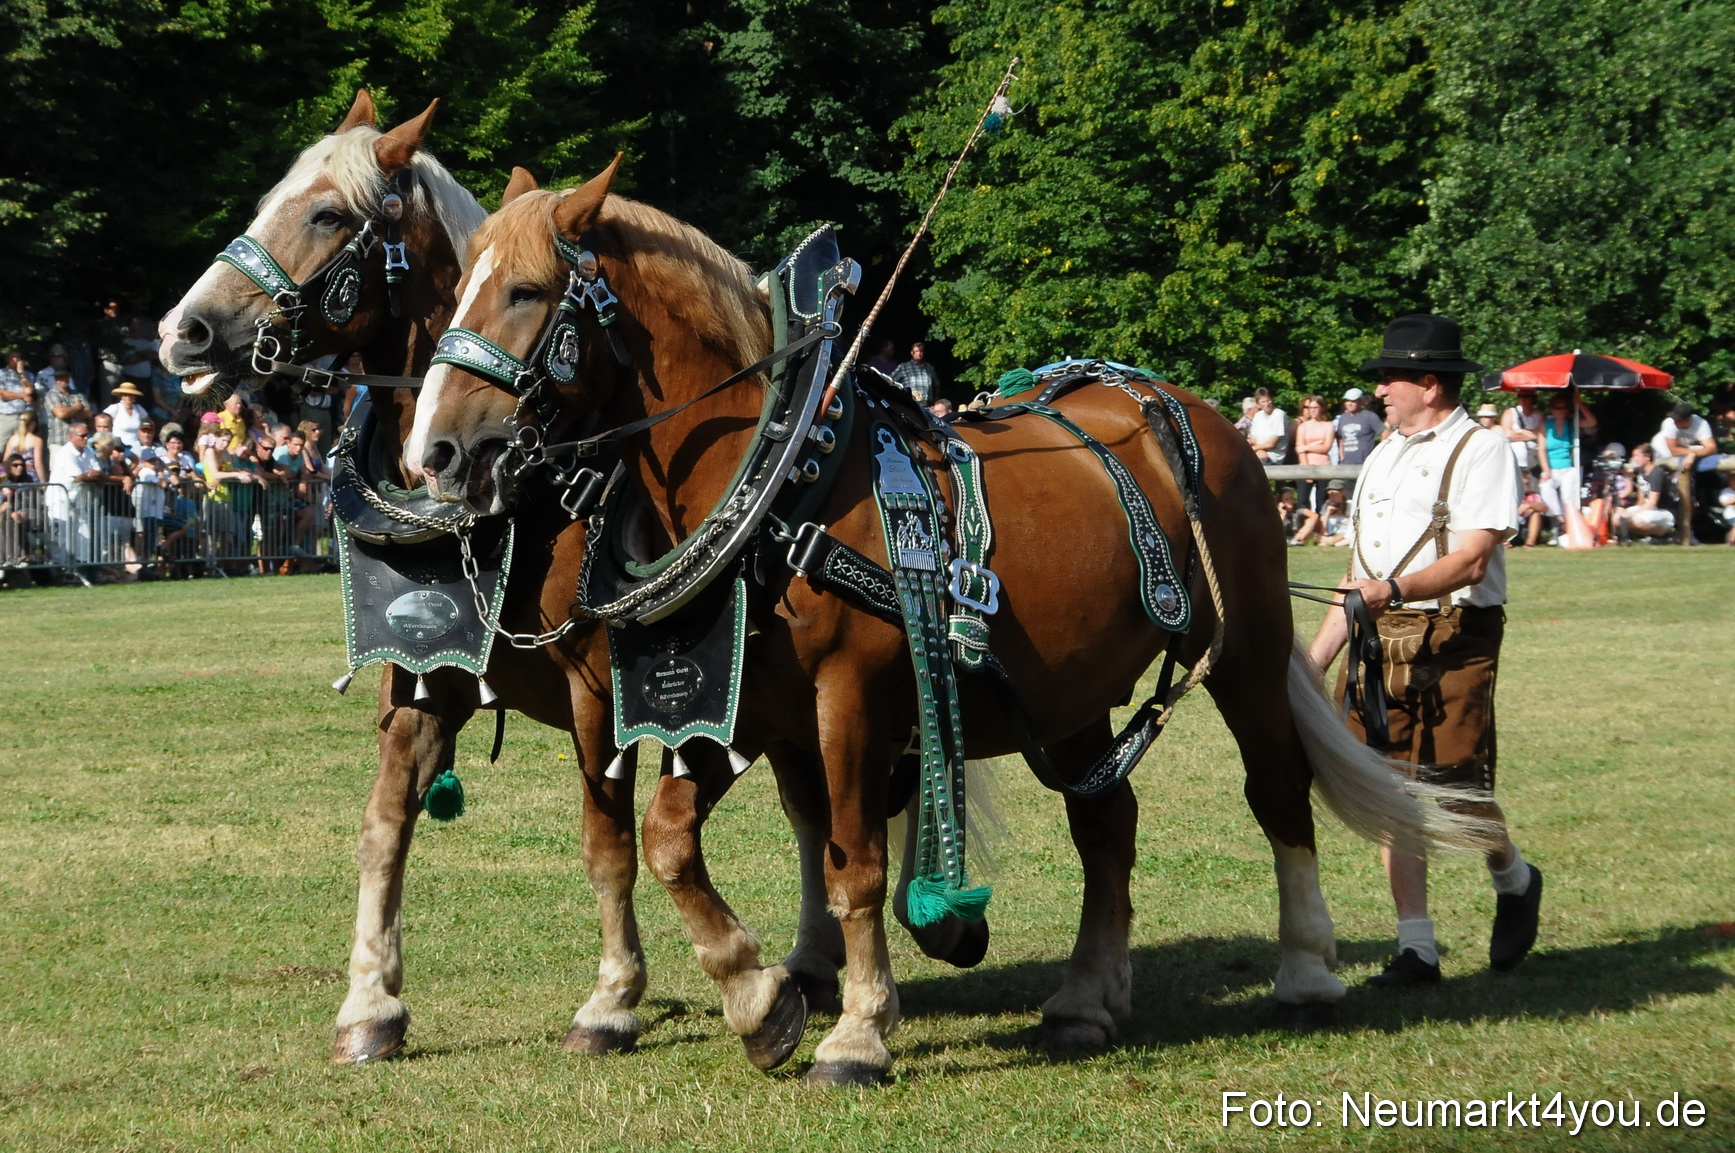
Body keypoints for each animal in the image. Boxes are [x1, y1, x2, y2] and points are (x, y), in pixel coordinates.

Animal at [405, 159, 1502, 1085]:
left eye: (526, 291)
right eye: (455, 291)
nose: (435, 452)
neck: (779, 480)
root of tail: (1183, 406)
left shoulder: (849, 696)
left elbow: (851, 859)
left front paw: (855, 1030)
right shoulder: (744, 707)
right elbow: (668, 838)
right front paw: (759, 1001)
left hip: (1248, 649)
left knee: (1275, 792)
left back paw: (1307, 969)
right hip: (1072, 689)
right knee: (1107, 821)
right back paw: (1085, 998)